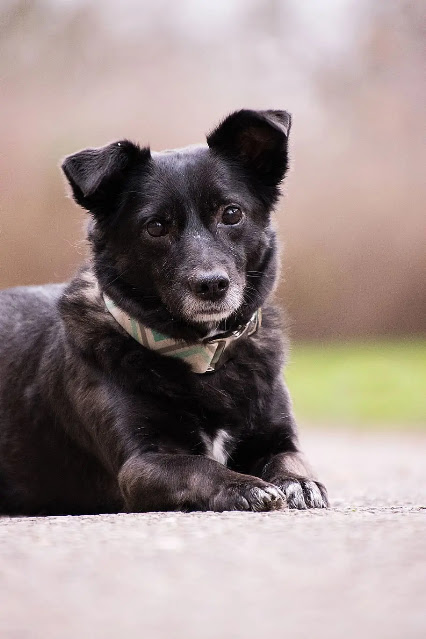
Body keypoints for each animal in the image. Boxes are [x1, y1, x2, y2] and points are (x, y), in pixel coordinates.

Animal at [0, 110, 330, 516]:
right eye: (156, 226)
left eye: (232, 213)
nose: (212, 285)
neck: (203, 358)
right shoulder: (141, 464)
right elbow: (200, 466)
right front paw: (243, 485)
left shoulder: (276, 437)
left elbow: (290, 457)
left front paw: (299, 482)